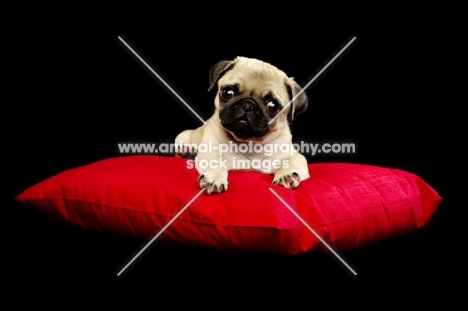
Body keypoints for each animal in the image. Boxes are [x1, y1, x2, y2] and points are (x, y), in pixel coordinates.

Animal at [174, 55, 308, 193]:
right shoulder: (211, 152)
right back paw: (187, 151)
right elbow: (215, 164)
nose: (248, 104)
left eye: (273, 106)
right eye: (227, 92)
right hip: (185, 136)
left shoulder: (295, 157)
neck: (248, 143)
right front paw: (215, 178)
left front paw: (286, 175)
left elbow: (290, 163)